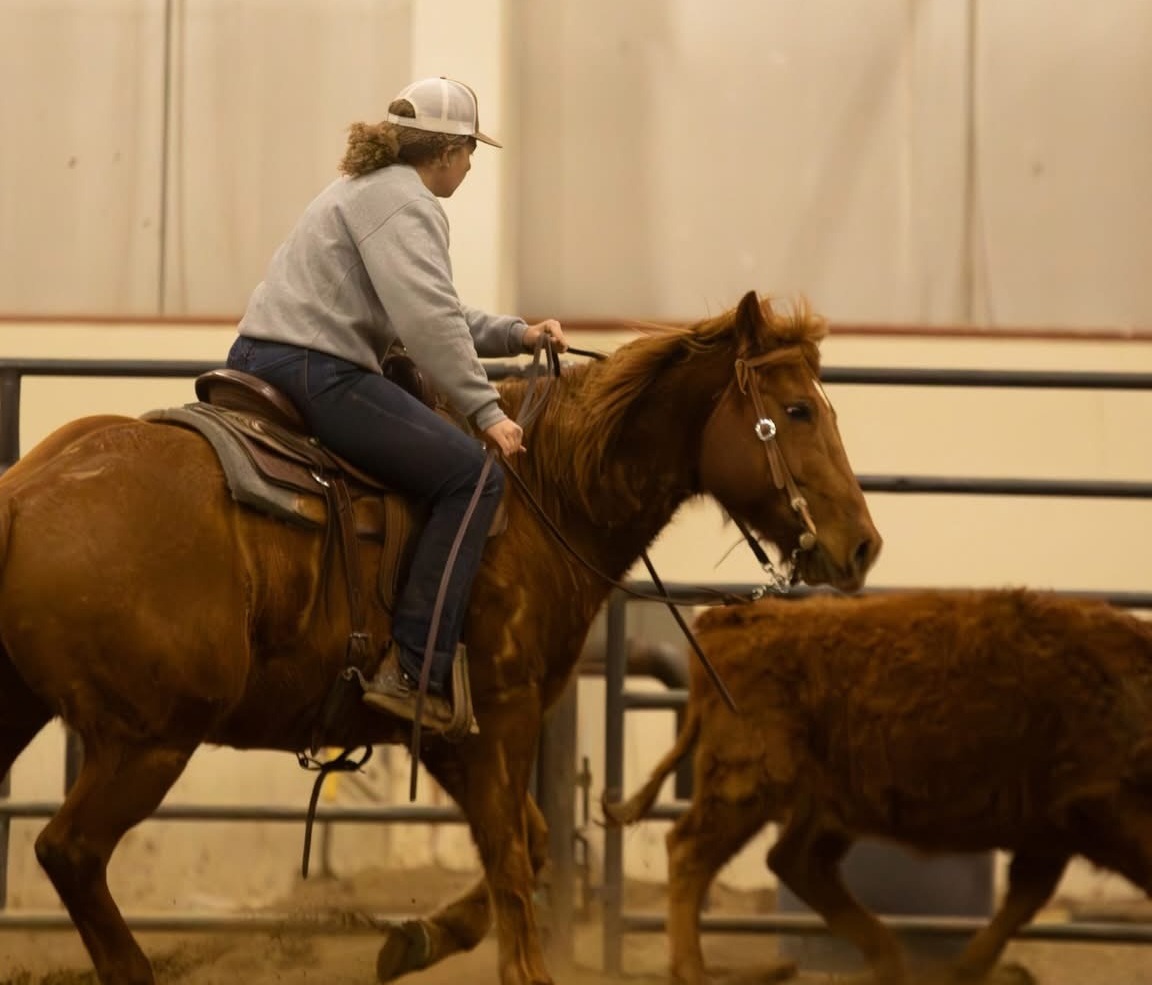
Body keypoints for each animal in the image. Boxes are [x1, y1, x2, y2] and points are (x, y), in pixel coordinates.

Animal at [0, 290, 880, 985]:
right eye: (796, 410)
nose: (862, 546)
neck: (544, 494)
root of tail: (26, 490)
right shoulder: (505, 712)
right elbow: (515, 862)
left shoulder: (454, 731)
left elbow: (528, 842)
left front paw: (418, 938)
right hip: (150, 737)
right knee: (69, 851)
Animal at [604, 588, 1152, 985]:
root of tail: (728, 622)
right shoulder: (1093, 813)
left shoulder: (1051, 832)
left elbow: (1023, 898)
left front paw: (968, 970)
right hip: (750, 786)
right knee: (691, 850)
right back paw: (692, 970)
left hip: (823, 806)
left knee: (796, 862)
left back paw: (888, 960)